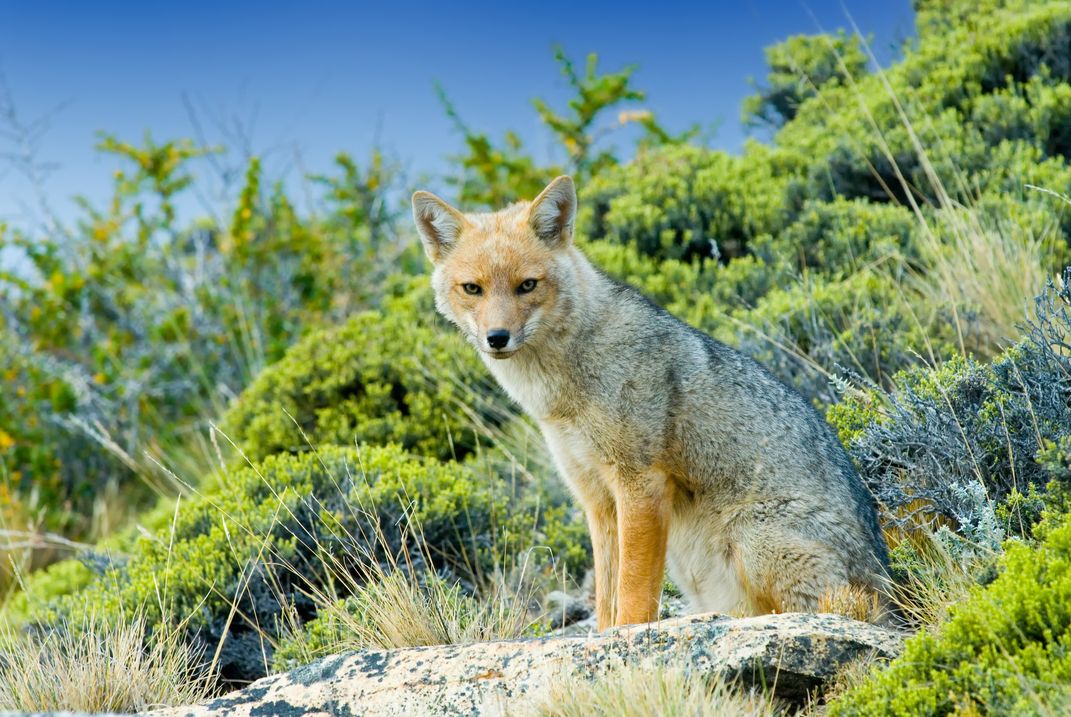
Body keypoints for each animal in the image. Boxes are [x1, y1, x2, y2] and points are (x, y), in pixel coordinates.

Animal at [411, 176, 890, 630]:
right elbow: (606, 598)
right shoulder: (597, 499)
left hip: (750, 537)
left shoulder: (639, 484)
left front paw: (627, 639)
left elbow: (634, 595)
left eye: (527, 285)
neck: (563, 393)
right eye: (472, 288)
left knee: (842, 608)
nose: (497, 338)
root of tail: (887, 574)